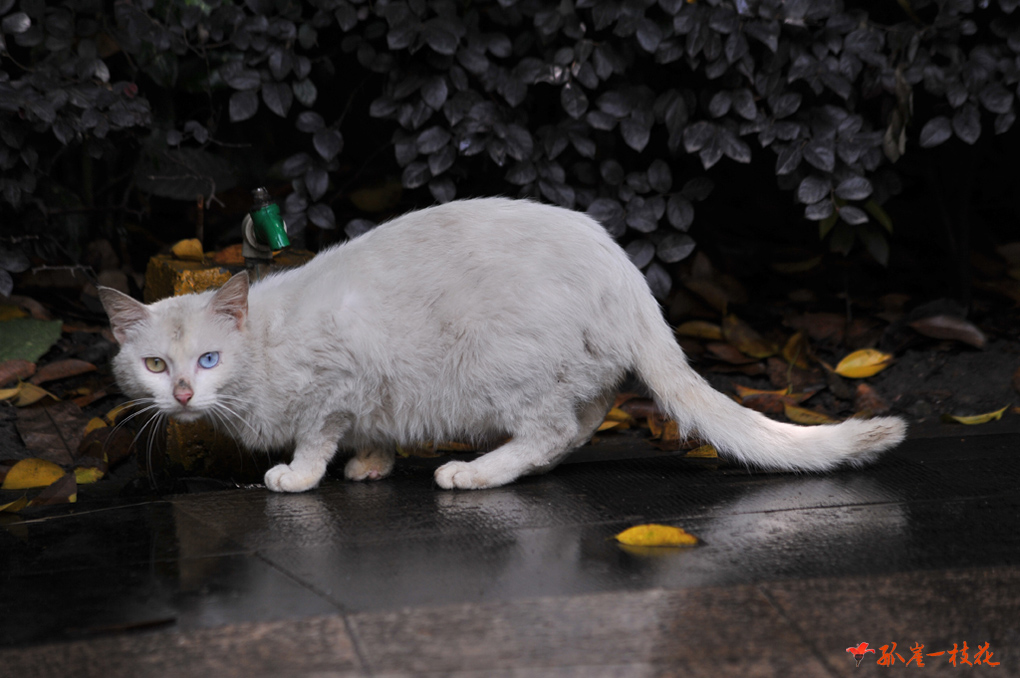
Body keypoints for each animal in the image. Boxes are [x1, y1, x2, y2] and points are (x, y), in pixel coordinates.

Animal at [99, 196, 905, 491]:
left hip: (505, 368)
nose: (181, 393)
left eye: (208, 360)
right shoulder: (368, 391)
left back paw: (473, 473)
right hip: (571, 370)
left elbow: (315, 438)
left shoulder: (336, 382)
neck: (263, 347)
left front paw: (299, 477)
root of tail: (627, 277)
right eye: (154, 365)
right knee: (578, 422)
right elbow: (368, 432)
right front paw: (371, 465)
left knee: (548, 431)